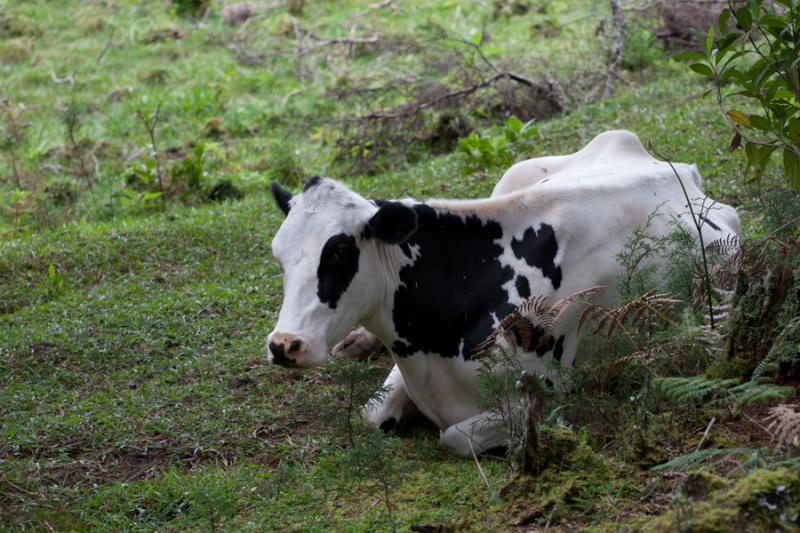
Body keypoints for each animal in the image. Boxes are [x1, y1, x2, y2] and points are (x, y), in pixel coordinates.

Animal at [266, 131, 740, 456]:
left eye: (339, 253)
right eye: (279, 255)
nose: (284, 344)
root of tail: (676, 168)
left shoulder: (552, 392)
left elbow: (454, 437)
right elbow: (371, 413)